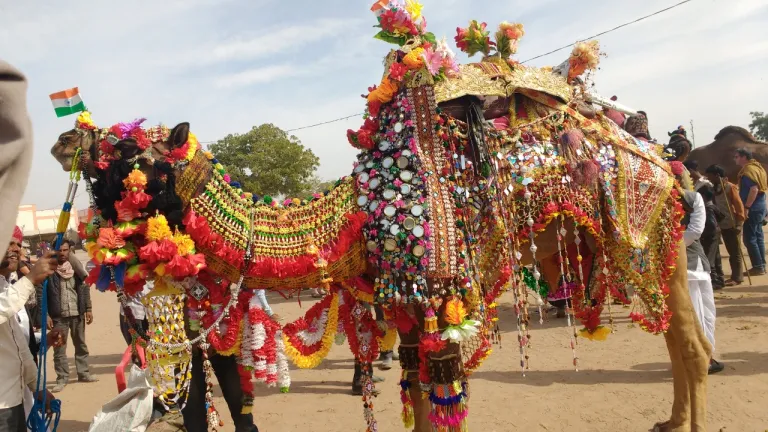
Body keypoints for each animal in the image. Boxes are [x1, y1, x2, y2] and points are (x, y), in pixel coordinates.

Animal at [48, 1, 708, 430]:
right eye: (103, 159)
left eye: (133, 157)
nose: (64, 141)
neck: (358, 217)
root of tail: (663, 161)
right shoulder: (408, 309)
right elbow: (418, 397)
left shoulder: (438, 292)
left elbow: (442, 398)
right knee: (682, 343)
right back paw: (670, 420)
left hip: (652, 239)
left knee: (687, 341)